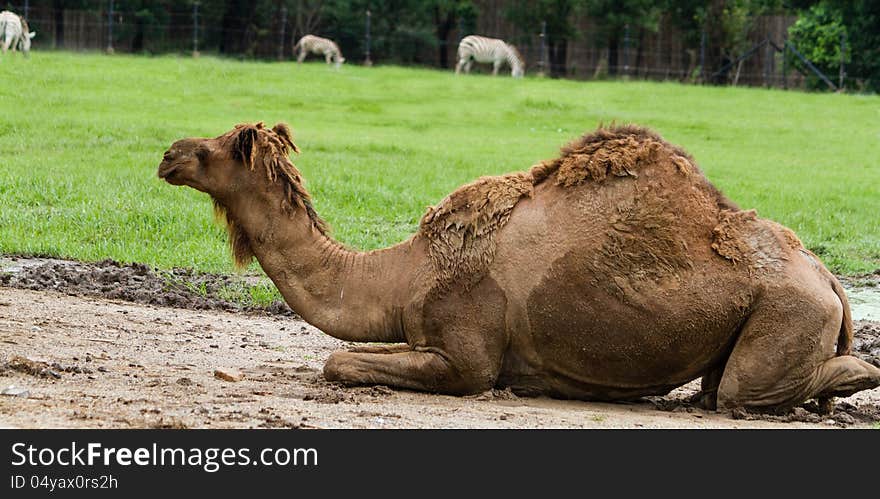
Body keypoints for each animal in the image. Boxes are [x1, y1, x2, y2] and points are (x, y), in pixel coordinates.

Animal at [158, 123, 880, 412]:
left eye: (216, 148)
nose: (168, 153)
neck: (406, 270)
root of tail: (831, 280)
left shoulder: (465, 353)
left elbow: (341, 361)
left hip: (789, 311)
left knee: (740, 392)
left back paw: (846, 382)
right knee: (716, 387)